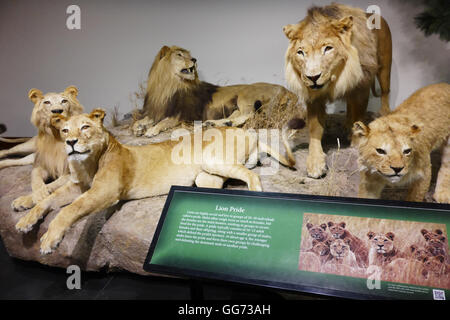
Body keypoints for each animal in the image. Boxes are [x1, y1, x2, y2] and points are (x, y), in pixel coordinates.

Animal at [17, 109, 298, 254]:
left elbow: (69, 210)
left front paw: (49, 239)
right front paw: (25, 217)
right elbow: (48, 199)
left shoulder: (105, 192)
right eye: (65, 130)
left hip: (213, 160)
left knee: (253, 175)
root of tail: (248, 132)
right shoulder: (79, 186)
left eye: (85, 127)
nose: (70, 142)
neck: (89, 162)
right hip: (205, 176)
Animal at [132, 44, 304, 137]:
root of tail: (286, 90)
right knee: (236, 116)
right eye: (180, 55)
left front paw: (151, 130)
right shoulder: (158, 110)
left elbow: (164, 122)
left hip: (245, 95)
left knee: (248, 114)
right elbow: (142, 120)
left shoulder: (184, 114)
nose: (194, 59)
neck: (169, 85)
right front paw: (138, 128)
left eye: (189, 55)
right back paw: (214, 123)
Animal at [284, 2, 390, 178]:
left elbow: (359, 117)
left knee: (385, 94)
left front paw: (356, 143)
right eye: (301, 52)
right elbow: (314, 128)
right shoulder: (313, 96)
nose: (313, 77)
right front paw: (315, 163)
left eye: (328, 48)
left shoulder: (362, 86)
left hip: (384, 69)